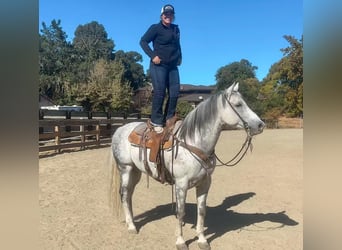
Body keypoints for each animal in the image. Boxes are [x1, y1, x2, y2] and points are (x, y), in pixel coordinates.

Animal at [109, 83, 264, 249]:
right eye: (238, 104)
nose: (261, 125)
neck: (193, 142)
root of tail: (120, 129)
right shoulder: (181, 184)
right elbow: (181, 211)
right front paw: (180, 241)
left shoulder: (205, 183)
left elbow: (201, 211)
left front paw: (202, 240)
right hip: (126, 169)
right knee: (125, 194)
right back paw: (132, 226)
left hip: (136, 172)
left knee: (129, 195)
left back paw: (130, 221)